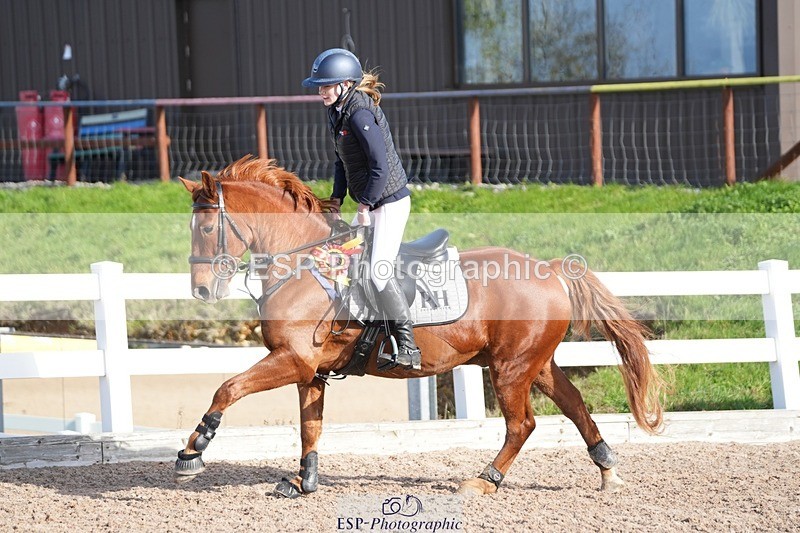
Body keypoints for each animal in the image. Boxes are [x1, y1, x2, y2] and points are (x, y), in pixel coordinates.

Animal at [175, 156, 664, 497]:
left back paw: (484, 481)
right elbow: (309, 426)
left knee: (522, 425)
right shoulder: (310, 371)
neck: (304, 262)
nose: (200, 289)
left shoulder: (292, 360)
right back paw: (607, 471)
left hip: (510, 369)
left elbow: (227, 389)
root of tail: (550, 268)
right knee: (575, 404)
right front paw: (303, 482)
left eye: (206, 228)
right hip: (534, 363)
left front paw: (194, 448)